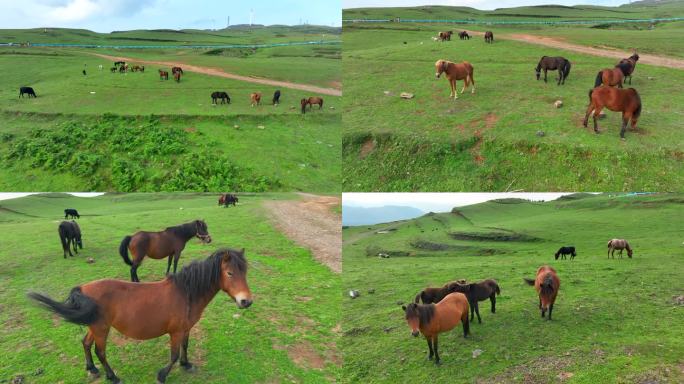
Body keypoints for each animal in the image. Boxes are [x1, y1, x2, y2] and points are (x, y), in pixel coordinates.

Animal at [29, 249, 252, 384]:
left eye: (245, 272)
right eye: (230, 273)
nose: (246, 301)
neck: (186, 292)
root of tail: (84, 288)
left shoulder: (186, 329)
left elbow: (185, 347)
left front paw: (186, 364)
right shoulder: (175, 332)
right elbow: (173, 355)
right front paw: (162, 375)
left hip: (95, 326)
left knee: (85, 343)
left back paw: (92, 369)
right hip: (102, 328)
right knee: (100, 352)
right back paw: (112, 376)